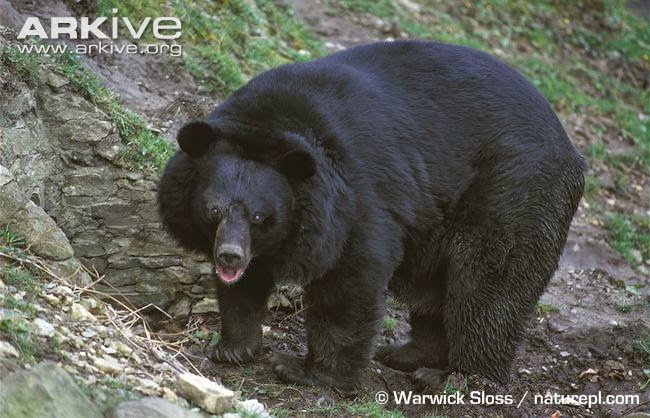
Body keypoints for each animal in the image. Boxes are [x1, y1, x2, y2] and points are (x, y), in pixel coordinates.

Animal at [157, 40, 584, 390]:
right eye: (212, 208)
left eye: (262, 216)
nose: (229, 255)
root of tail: (572, 151)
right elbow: (245, 286)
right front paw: (232, 348)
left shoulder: (357, 199)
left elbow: (350, 280)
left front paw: (306, 370)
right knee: (440, 286)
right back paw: (407, 355)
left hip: (514, 194)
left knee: (489, 286)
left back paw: (454, 377)